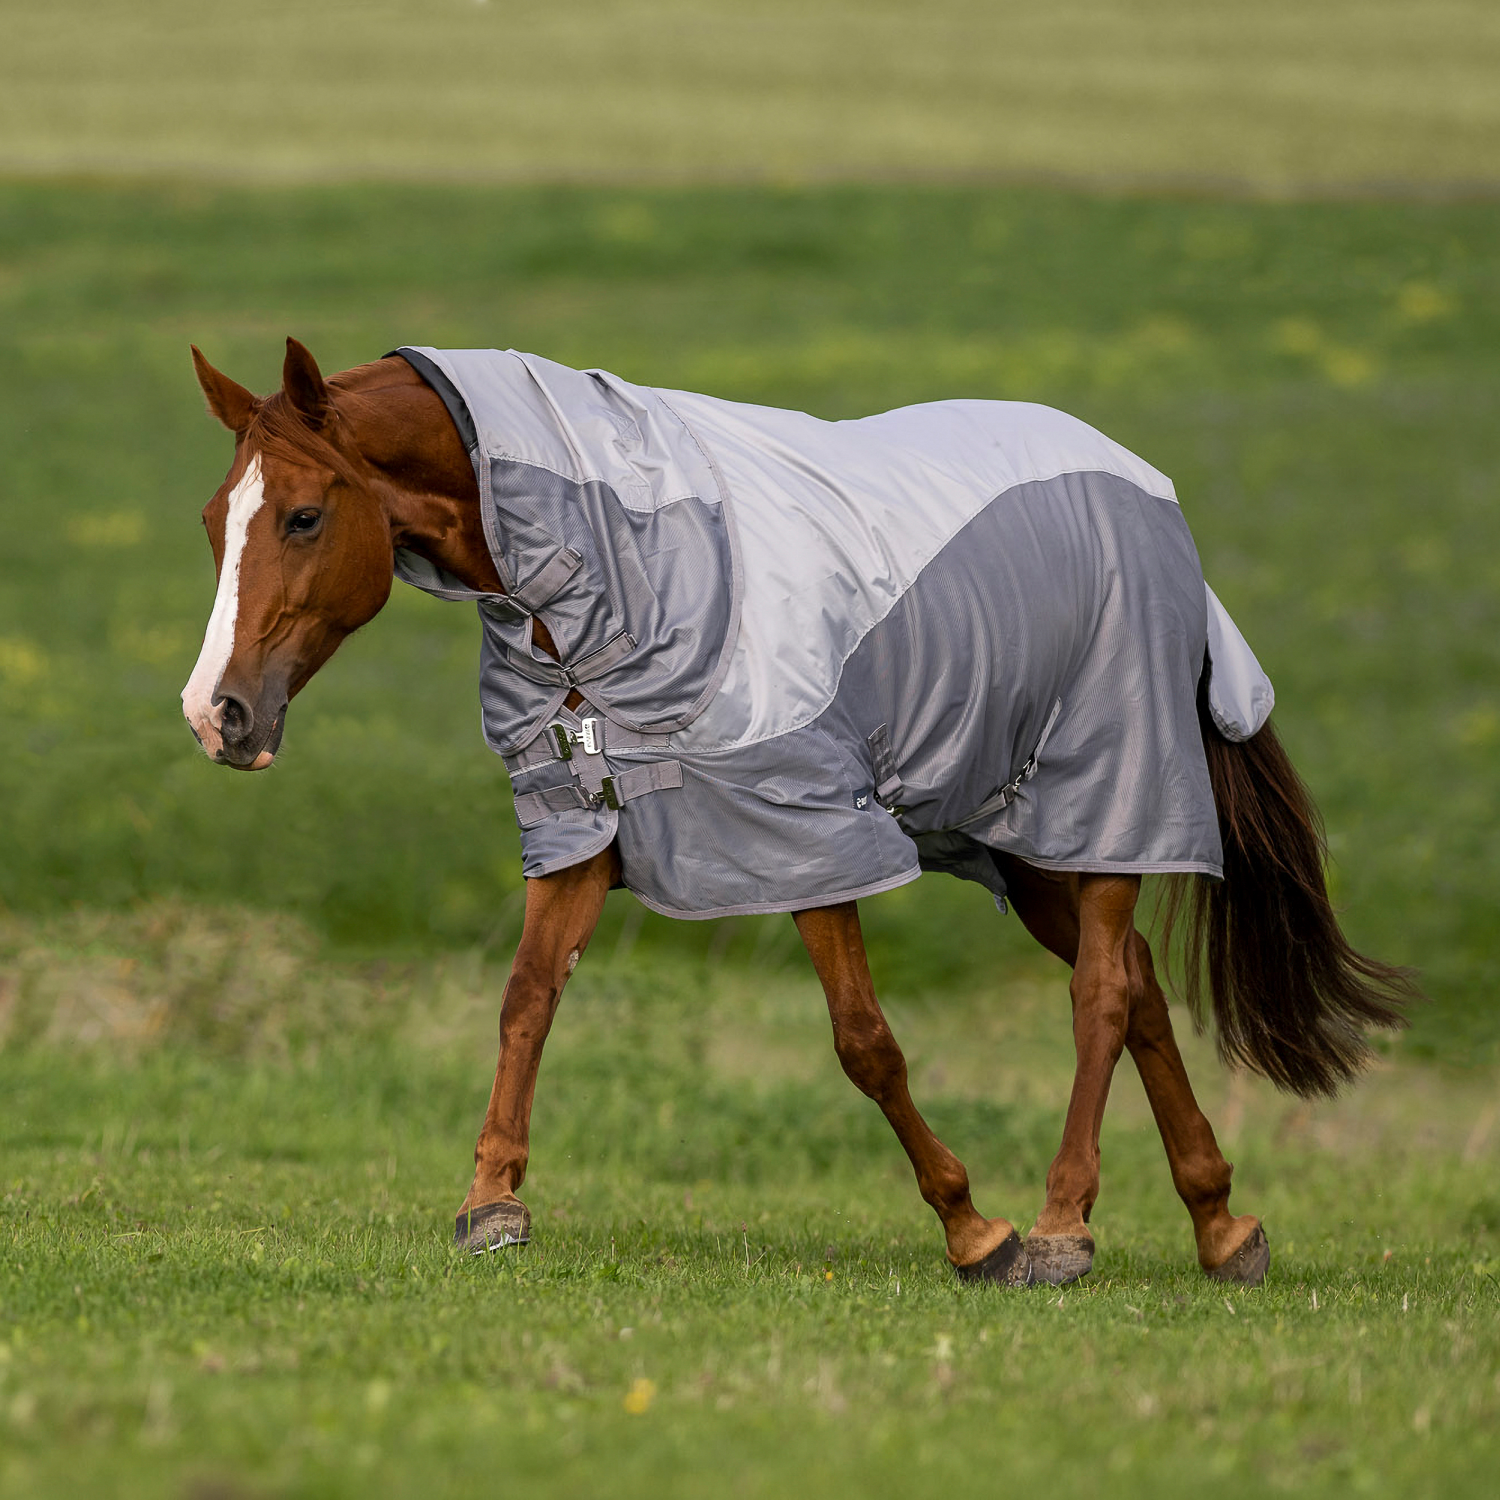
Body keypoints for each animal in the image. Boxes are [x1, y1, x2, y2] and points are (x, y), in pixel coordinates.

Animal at [181, 340, 1410, 1290]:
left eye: (303, 515)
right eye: (210, 523)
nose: (216, 715)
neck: (621, 570)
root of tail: (1146, 489)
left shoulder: (804, 830)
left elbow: (865, 1043)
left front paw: (977, 1231)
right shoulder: (587, 819)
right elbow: (525, 1002)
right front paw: (494, 1203)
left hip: (1107, 792)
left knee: (1103, 993)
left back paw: (1065, 1227)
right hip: (1026, 834)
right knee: (1144, 989)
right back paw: (1221, 1226)